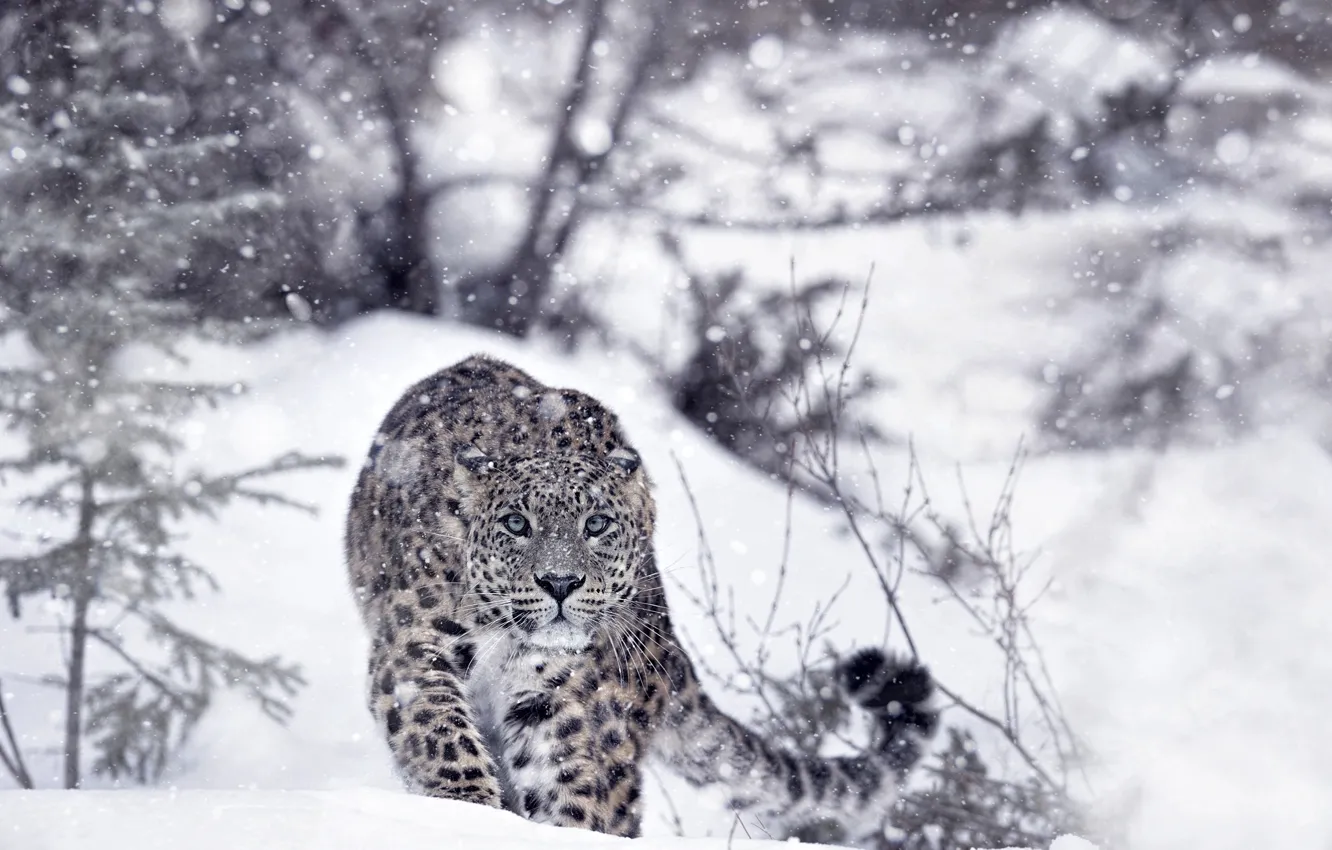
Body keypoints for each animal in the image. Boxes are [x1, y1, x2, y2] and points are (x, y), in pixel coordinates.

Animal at [345, 354, 937, 844]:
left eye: (597, 524)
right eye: (515, 523)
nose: (559, 582)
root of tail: (667, 644)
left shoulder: (559, 697)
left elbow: (570, 782)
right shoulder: (415, 646)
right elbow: (440, 732)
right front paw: (467, 809)